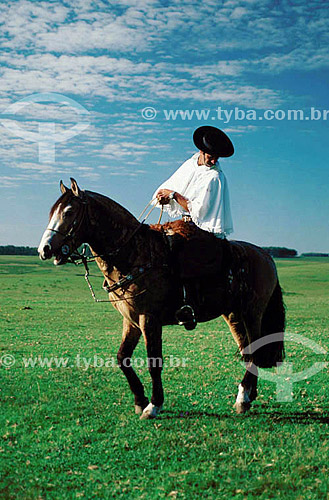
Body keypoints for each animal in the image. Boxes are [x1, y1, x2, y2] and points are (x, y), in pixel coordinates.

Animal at [38, 179, 284, 418]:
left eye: (69, 212)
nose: (45, 250)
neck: (134, 254)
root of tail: (266, 257)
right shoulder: (131, 321)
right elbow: (122, 358)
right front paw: (140, 399)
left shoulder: (149, 319)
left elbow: (153, 362)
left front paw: (154, 405)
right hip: (233, 315)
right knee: (248, 350)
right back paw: (248, 396)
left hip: (252, 313)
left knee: (255, 351)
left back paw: (242, 399)